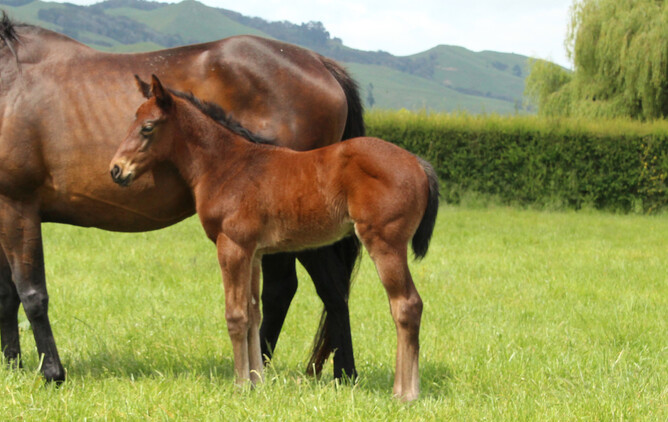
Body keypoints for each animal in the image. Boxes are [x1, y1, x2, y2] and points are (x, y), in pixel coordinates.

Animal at [0, 12, 363, 383]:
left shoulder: (17, 205)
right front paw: (12, 364)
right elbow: (7, 294)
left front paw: (52, 372)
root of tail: (319, 63)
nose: (116, 169)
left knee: (328, 290)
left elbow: (31, 292)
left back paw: (339, 372)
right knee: (289, 290)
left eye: (147, 127)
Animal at [109, 75, 439, 401]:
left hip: (385, 243)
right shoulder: (254, 252)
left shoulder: (232, 246)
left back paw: (406, 393)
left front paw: (240, 385)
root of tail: (419, 164)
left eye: (147, 127)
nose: (116, 170)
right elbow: (254, 313)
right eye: (132, 120)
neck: (227, 166)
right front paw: (257, 382)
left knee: (406, 304)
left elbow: (236, 315)